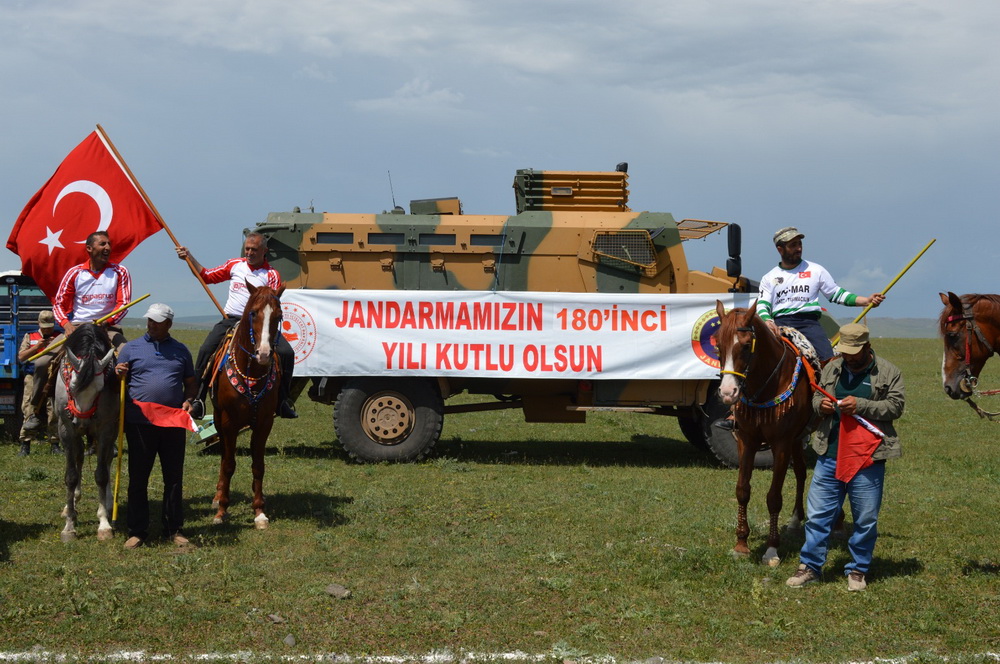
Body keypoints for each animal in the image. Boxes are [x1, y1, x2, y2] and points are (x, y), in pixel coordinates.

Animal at [55, 324, 119, 544]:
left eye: (100, 389)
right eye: (72, 386)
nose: (81, 421)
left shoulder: (106, 429)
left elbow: (101, 474)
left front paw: (104, 525)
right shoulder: (66, 430)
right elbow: (71, 476)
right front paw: (69, 527)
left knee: (107, 461)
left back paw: (107, 501)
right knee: (79, 457)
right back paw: (71, 505)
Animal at [210, 282, 284, 528]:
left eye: (278, 316)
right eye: (253, 313)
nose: (264, 354)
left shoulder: (264, 423)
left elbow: (258, 465)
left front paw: (259, 511)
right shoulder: (228, 422)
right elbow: (229, 464)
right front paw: (222, 511)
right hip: (218, 418)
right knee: (224, 456)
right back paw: (217, 496)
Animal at [712, 300, 812, 564]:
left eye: (747, 345)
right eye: (718, 345)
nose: (728, 393)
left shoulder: (780, 444)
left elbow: (774, 497)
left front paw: (771, 549)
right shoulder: (747, 441)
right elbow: (742, 490)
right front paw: (741, 544)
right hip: (797, 440)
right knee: (801, 473)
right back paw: (796, 520)